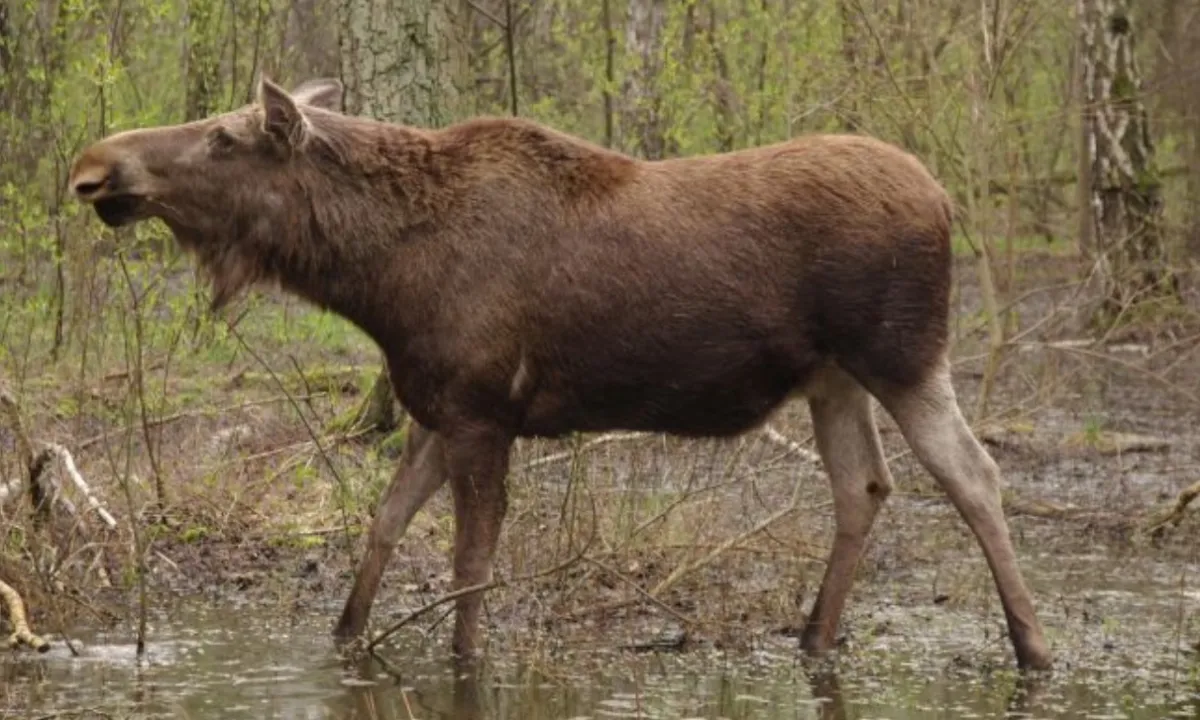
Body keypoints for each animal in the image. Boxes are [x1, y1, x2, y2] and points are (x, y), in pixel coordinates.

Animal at [68, 76, 1053, 671]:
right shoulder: (435, 408)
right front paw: (344, 642)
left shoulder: (480, 414)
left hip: (904, 355)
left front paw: (461, 660)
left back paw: (1032, 647)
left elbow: (468, 565)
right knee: (864, 487)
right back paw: (815, 637)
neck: (377, 278)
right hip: (832, 379)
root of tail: (945, 197)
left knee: (975, 475)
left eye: (224, 138)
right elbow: (383, 529)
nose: (92, 166)